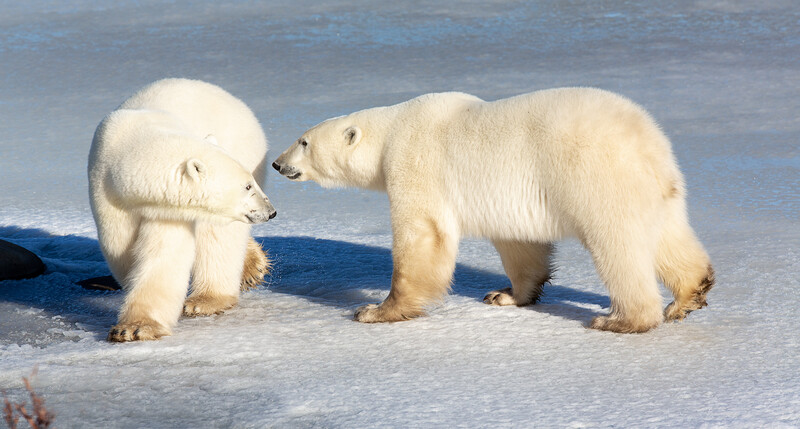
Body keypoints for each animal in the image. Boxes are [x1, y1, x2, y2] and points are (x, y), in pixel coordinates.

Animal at [89, 78, 277, 342]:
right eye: (247, 186)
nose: (270, 211)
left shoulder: (170, 210)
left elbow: (164, 254)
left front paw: (135, 327)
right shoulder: (105, 189)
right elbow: (119, 245)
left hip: (242, 144)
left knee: (218, 237)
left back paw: (207, 299)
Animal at [272, 87, 714, 333]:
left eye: (304, 141)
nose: (277, 163)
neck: (391, 131)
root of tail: (648, 143)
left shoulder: (416, 162)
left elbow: (424, 234)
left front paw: (375, 310)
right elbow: (519, 243)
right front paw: (506, 295)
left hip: (598, 177)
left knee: (618, 246)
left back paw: (621, 320)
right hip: (660, 189)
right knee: (670, 237)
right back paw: (690, 294)